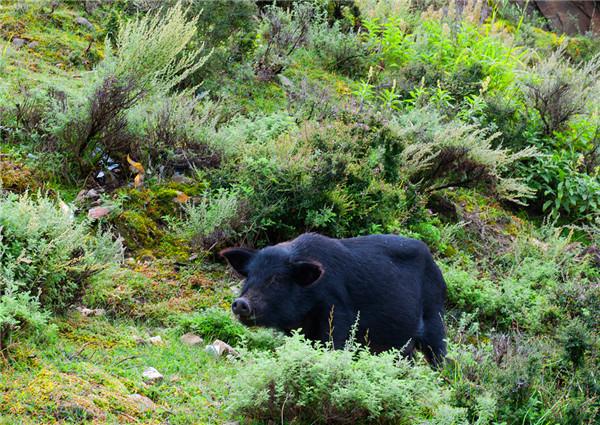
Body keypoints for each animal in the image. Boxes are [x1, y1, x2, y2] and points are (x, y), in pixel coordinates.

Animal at [220, 232, 446, 364]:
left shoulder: (337, 311)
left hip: (435, 318)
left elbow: (334, 345)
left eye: (276, 279)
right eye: (250, 275)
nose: (240, 303)